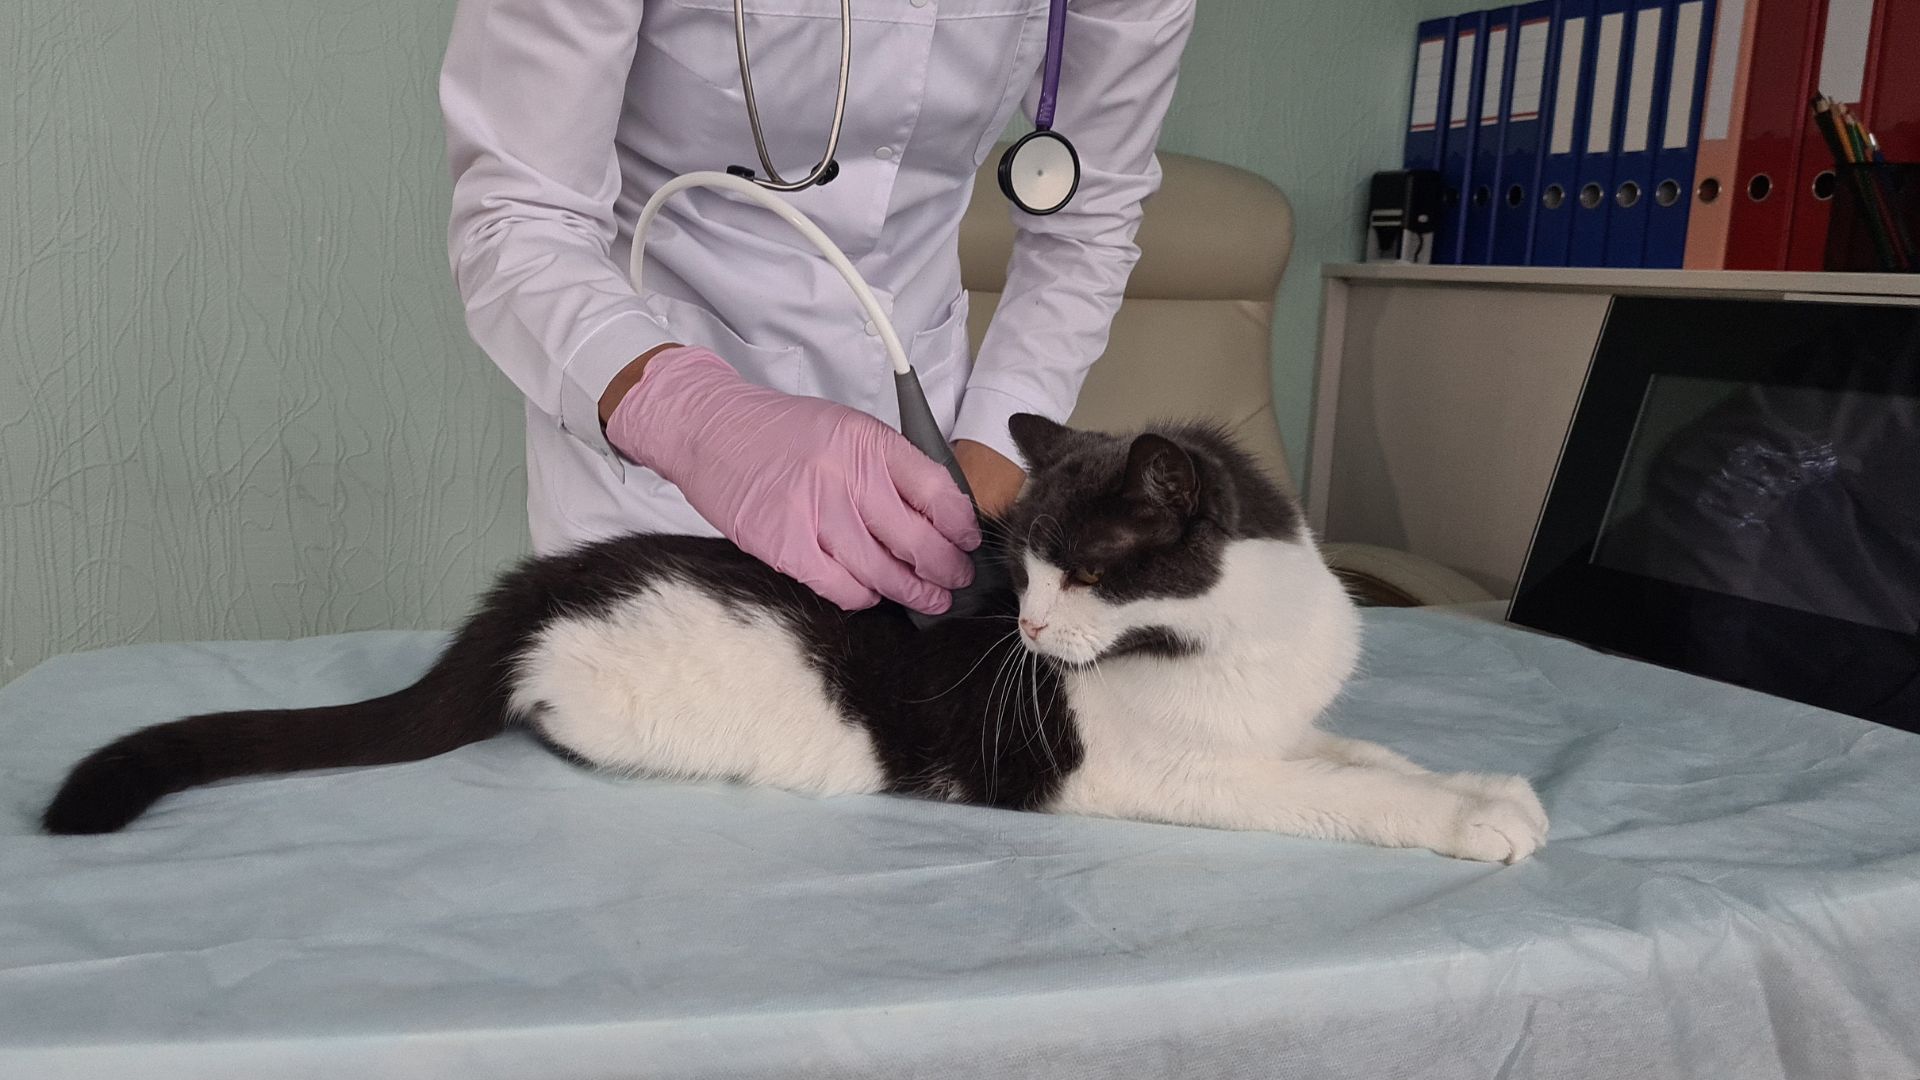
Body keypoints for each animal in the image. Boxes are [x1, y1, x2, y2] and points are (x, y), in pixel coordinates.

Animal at [41, 411, 1543, 857]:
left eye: (1081, 571)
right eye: (1020, 567)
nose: (1024, 625)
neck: (1231, 649)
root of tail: (537, 585)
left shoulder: (1281, 719)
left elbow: (1364, 758)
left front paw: (1486, 787)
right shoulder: (1159, 770)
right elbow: (1333, 794)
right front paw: (1470, 821)